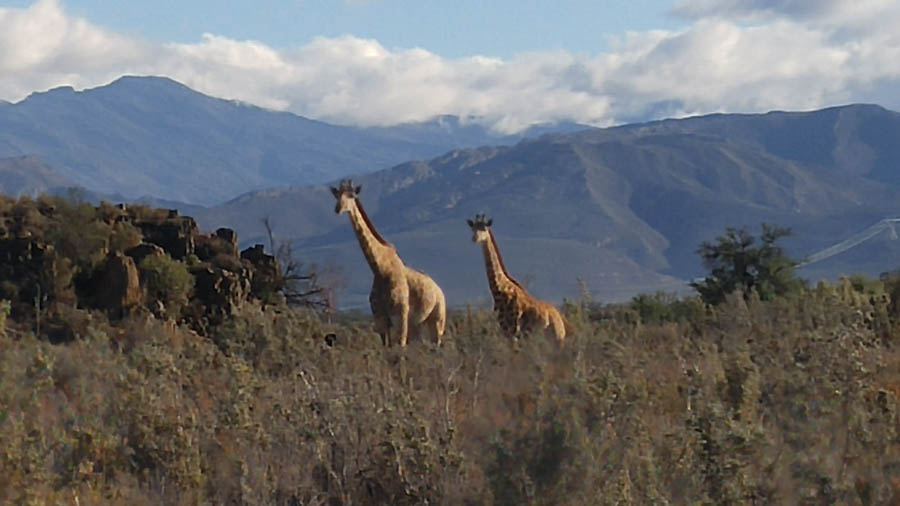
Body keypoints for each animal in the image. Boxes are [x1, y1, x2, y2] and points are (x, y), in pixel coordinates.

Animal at [330, 179, 446, 348]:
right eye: (337, 195)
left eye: (352, 195)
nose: (338, 208)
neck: (380, 269)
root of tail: (440, 290)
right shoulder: (380, 318)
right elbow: (386, 347)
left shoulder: (400, 316)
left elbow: (400, 346)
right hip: (417, 324)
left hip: (437, 320)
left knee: (436, 343)